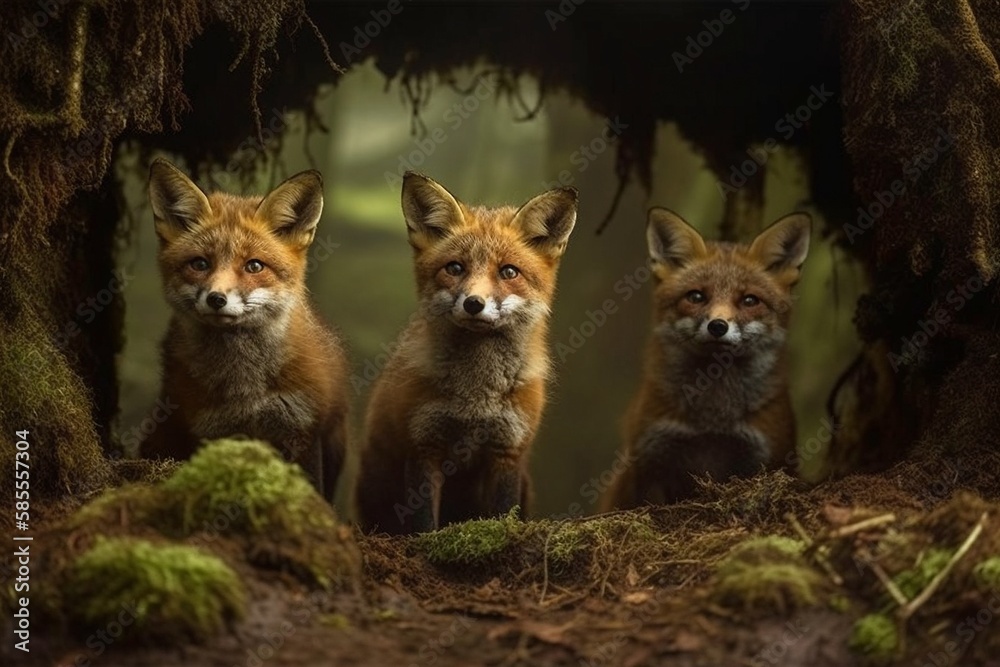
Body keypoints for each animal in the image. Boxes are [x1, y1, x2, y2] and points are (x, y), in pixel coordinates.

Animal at [140, 158, 349, 504]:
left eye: (254, 266)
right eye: (200, 264)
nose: (216, 299)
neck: (245, 386)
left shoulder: (303, 429)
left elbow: (311, 491)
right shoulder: (210, 433)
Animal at [354, 172, 577, 534]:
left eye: (509, 272)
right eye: (455, 268)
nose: (474, 303)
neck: (477, 398)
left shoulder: (508, 450)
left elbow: (503, 513)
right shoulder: (424, 447)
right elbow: (423, 523)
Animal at [602, 207, 811, 509]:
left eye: (750, 300)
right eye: (696, 296)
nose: (718, 326)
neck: (711, 421)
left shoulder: (767, 457)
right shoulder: (649, 462)